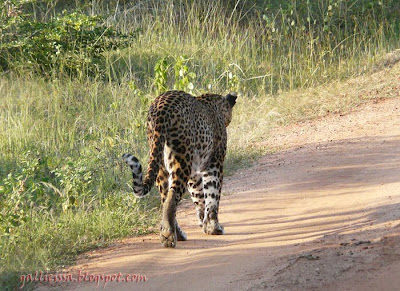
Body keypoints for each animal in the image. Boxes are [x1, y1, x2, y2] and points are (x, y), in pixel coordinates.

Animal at [123, 89, 236, 249]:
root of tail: (161, 107)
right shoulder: (215, 163)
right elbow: (212, 196)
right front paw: (214, 227)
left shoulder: (194, 174)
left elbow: (199, 196)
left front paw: (204, 223)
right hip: (181, 160)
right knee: (172, 196)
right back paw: (168, 235)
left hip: (160, 164)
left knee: (165, 198)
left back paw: (178, 234)